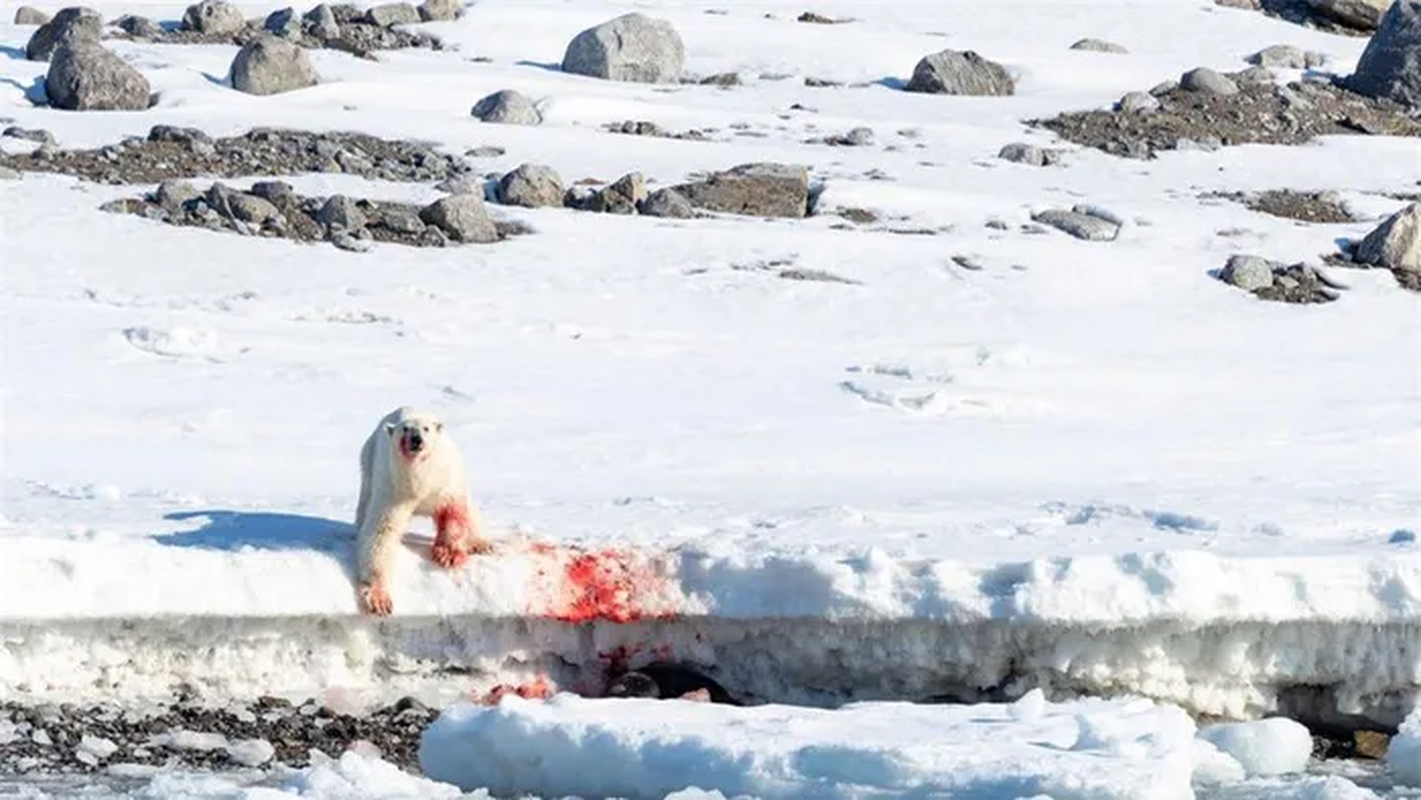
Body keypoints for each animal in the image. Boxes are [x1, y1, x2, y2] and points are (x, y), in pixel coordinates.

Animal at [352, 409, 491, 616]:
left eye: (426, 429)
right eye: (405, 429)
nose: (416, 439)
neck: (420, 481)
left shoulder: (445, 481)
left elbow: (454, 514)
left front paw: (447, 554)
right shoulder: (394, 490)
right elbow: (381, 533)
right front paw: (379, 598)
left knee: (470, 511)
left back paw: (482, 544)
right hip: (369, 461)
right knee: (365, 504)